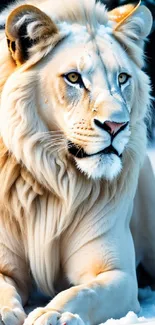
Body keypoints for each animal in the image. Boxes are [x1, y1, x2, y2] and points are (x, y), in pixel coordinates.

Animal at [0, 0, 154, 322]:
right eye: (73, 78)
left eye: (122, 78)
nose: (116, 125)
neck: (53, 179)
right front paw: (7, 313)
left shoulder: (117, 273)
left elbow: (84, 293)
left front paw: (52, 315)